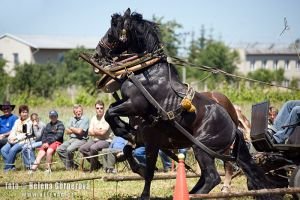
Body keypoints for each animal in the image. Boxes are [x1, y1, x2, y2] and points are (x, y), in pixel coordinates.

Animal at [92, 8, 282, 200]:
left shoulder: (137, 108)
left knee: (212, 177)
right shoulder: (142, 133)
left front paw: (123, 132)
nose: (97, 54)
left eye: (111, 31)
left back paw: (196, 194)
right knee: (208, 176)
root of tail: (234, 128)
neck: (147, 72)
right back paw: (191, 192)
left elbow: (110, 114)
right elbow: (124, 141)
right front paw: (127, 134)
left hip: (202, 149)